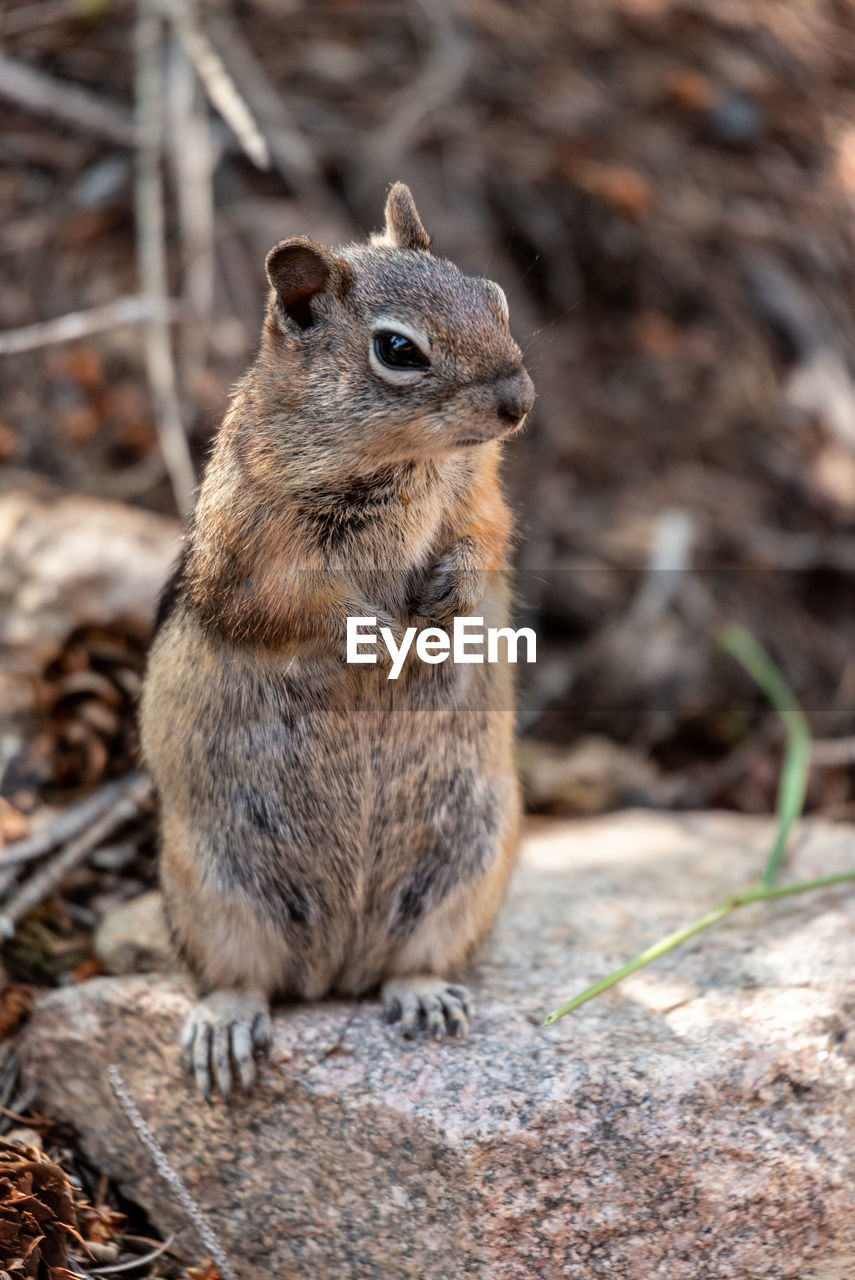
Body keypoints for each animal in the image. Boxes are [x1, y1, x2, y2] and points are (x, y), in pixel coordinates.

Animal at [143, 183, 537, 1100]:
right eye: (397, 350)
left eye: (493, 296)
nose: (519, 402)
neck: (405, 464)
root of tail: (332, 971)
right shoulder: (258, 553)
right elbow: (298, 605)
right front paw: (385, 633)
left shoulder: (480, 497)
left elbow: (486, 544)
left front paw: (452, 599)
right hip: (210, 889)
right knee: (237, 977)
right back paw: (227, 1024)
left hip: (469, 868)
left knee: (411, 962)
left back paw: (423, 994)